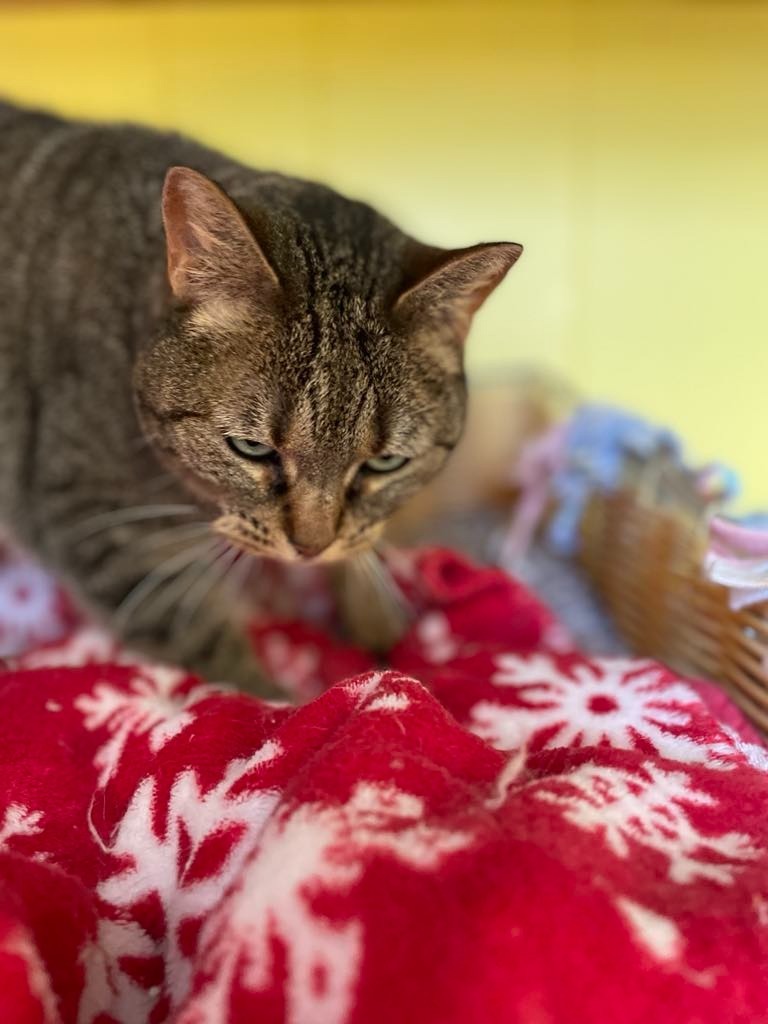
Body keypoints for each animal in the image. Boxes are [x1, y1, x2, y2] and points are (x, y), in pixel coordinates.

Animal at [0, 99, 524, 700]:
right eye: (251, 449)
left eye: (385, 463)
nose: (311, 548)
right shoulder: (100, 521)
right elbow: (209, 644)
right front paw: (292, 704)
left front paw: (377, 617)